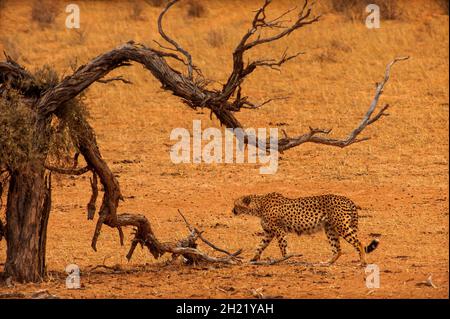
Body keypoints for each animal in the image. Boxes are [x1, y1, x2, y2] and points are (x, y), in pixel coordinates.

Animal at [232, 194, 380, 266]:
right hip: (330, 229)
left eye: (236, 205)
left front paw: (286, 259)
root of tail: (347, 199)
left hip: (342, 227)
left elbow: (283, 247)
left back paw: (362, 262)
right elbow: (259, 246)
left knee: (359, 243)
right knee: (337, 249)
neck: (259, 206)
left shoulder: (279, 231)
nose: (232, 211)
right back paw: (327, 263)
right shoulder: (269, 233)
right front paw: (253, 259)